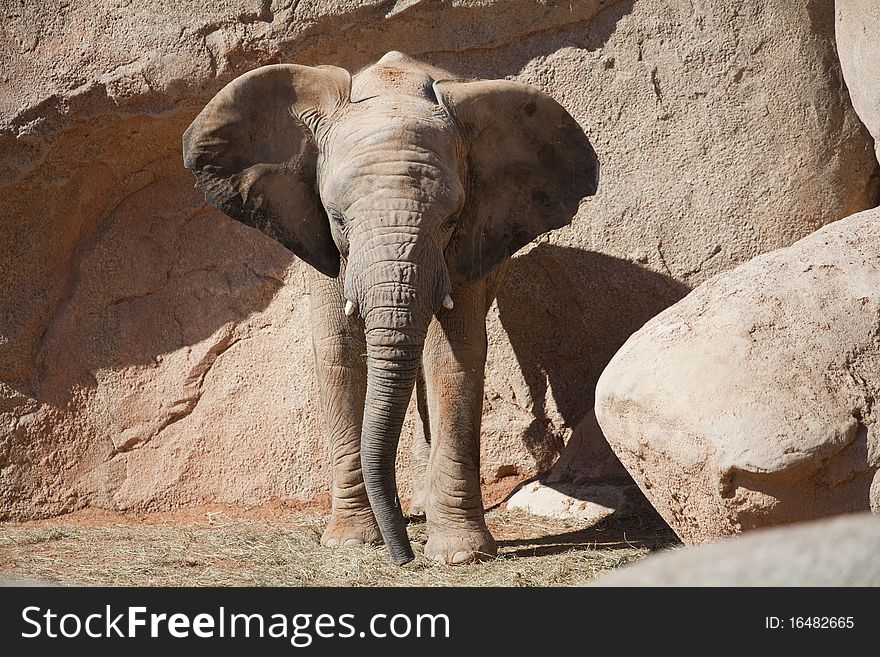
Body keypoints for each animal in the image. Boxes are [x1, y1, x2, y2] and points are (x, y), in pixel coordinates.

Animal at [184, 50, 600, 564]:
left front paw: (459, 555)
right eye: (337, 218)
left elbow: (453, 356)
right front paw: (349, 542)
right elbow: (339, 353)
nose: (404, 557)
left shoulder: (469, 240)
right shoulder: (323, 246)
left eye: (450, 220)